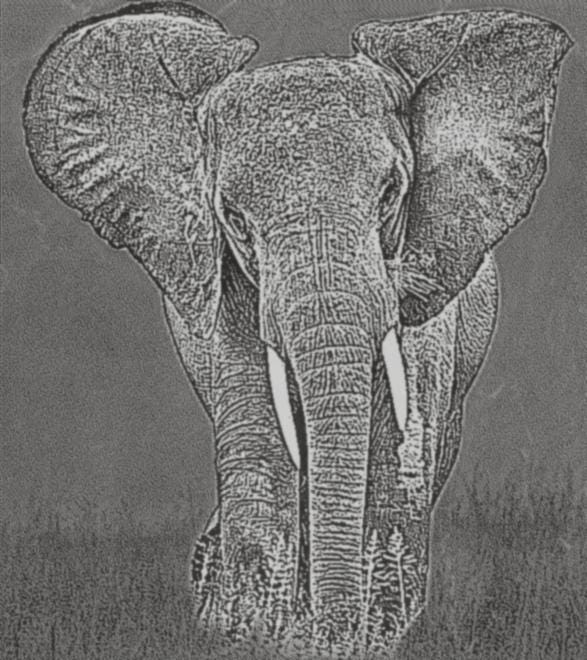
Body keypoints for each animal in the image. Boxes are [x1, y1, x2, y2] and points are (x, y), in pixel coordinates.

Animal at [23, 1, 571, 655]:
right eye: (233, 217)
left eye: (391, 194)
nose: (329, 631)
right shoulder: (227, 289)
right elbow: (261, 443)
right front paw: (252, 632)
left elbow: (400, 449)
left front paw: (372, 636)